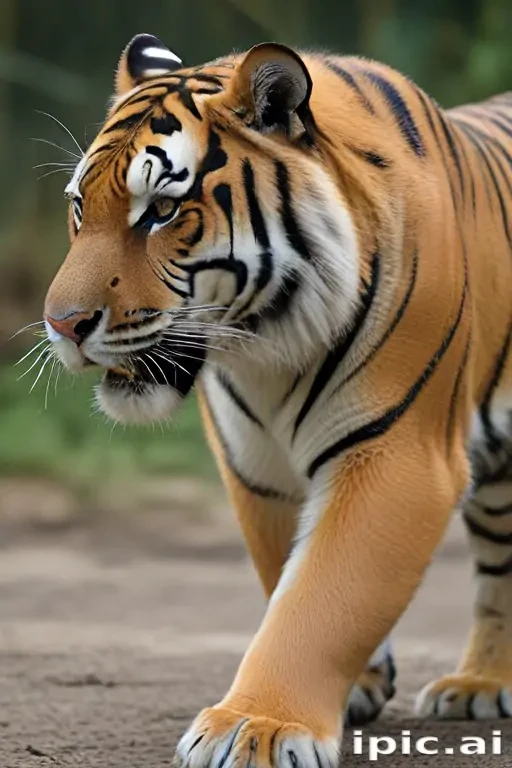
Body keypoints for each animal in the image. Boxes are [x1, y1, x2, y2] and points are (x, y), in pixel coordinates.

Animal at [41, 33, 511, 767]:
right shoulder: (256, 466)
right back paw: (481, 683)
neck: (269, 342)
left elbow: (322, 594)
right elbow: (286, 572)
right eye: (80, 207)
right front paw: (358, 682)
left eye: (162, 211)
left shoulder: (398, 456)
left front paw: (257, 726)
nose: (61, 325)